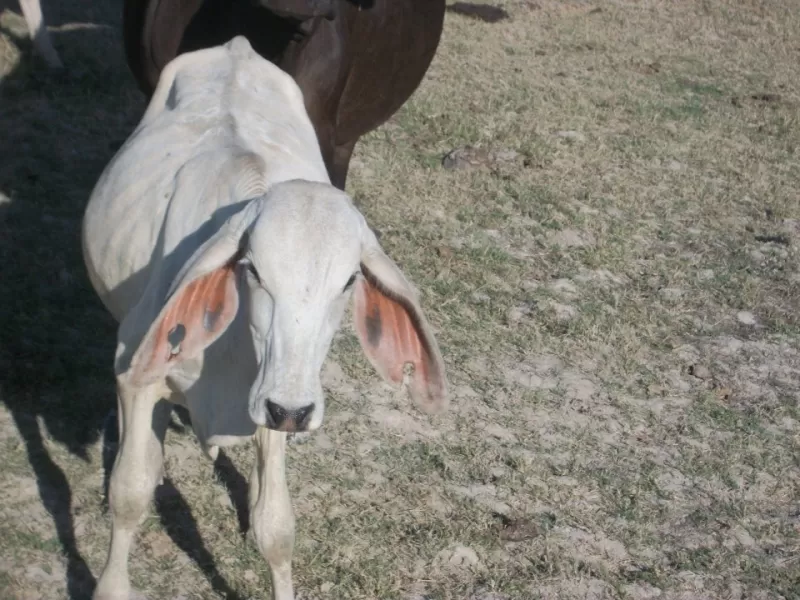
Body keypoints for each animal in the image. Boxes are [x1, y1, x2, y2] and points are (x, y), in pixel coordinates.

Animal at [82, 36, 448, 600]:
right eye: (252, 269)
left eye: (349, 281)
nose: (290, 410)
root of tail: (236, 46)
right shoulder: (137, 372)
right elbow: (131, 490)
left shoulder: (272, 402)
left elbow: (275, 526)